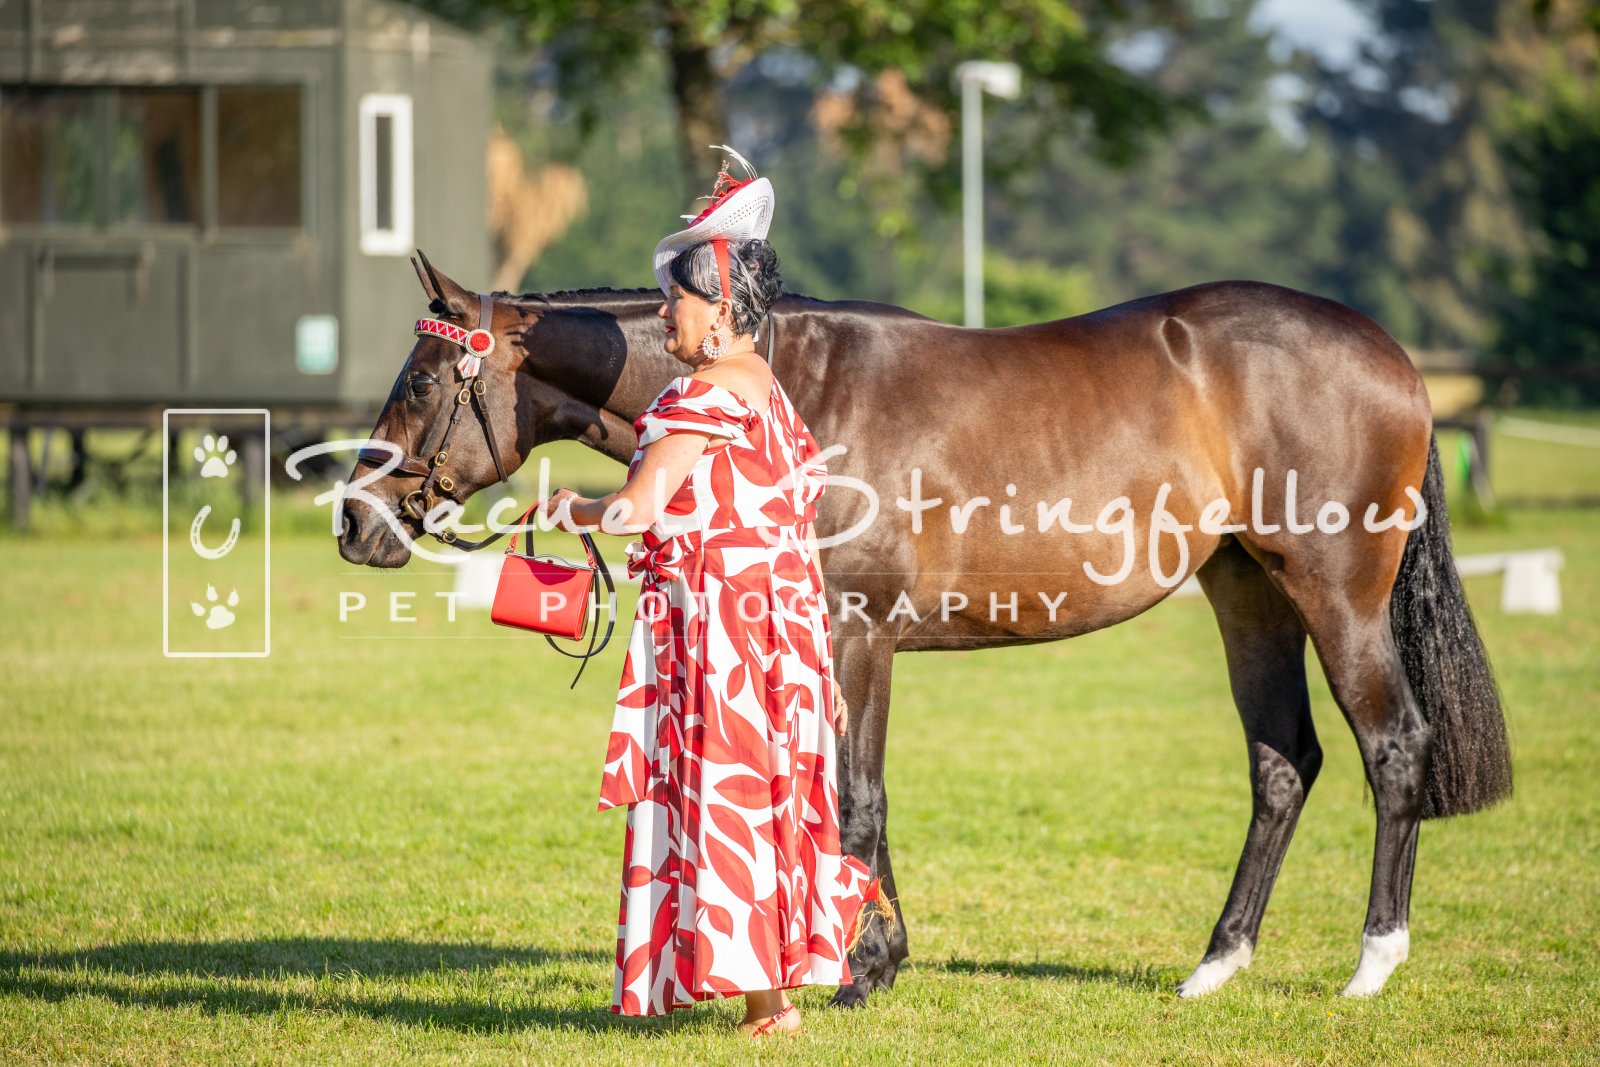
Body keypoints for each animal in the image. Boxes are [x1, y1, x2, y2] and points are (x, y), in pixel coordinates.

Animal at [338, 252, 1512, 1006]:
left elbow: (858, 802)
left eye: (426, 377)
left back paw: (1372, 962)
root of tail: (1394, 358)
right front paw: (874, 954)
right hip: (1247, 593)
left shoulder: (857, 633)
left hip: (1335, 592)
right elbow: (850, 801)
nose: (356, 519)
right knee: (1282, 762)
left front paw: (858, 970)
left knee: (1392, 745)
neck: (792, 390)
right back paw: (1216, 964)